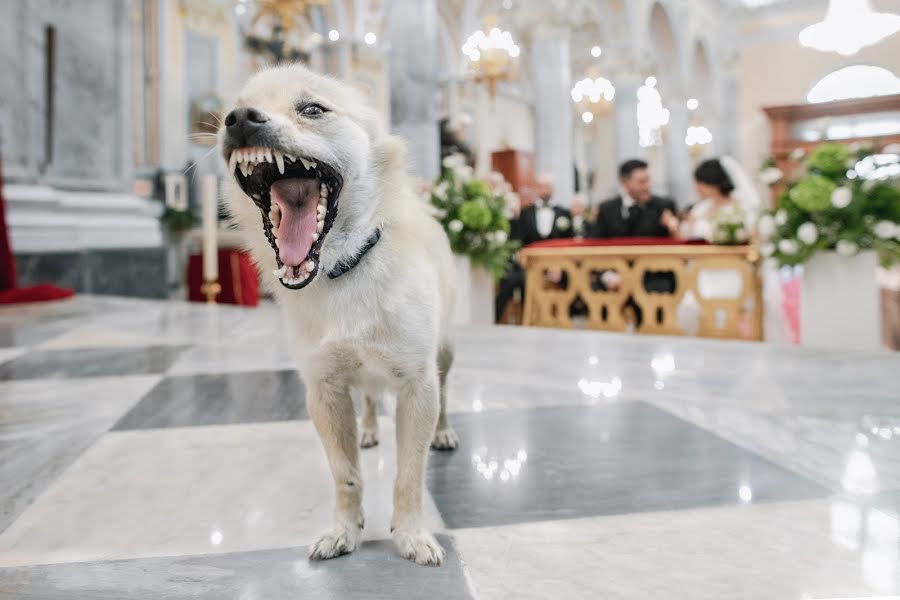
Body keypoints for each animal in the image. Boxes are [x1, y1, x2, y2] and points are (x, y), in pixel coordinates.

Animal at [218, 67, 458, 568]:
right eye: (231, 111)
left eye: (313, 109)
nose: (240, 119)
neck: (345, 267)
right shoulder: (325, 391)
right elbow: (346, 475)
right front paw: (344, 532)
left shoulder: (418, 386)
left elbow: (410, 474)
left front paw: (411, 535)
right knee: (367, 398)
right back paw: (367, 430)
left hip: (445, 355)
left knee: (446, 396)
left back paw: (444, 433)